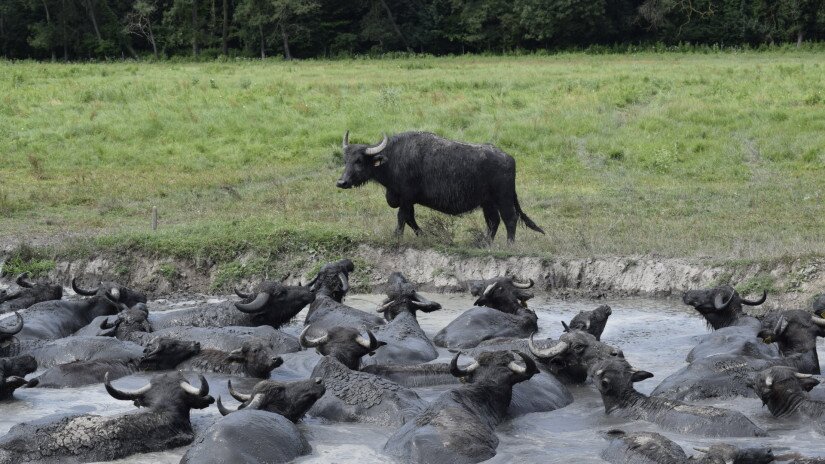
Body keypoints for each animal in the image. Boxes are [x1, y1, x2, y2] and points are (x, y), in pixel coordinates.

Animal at [334, 130, 548, 243]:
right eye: (346, 160)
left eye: (359, 161)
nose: (341, 182)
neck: (393, 159)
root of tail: (508, 158)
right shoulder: (407, 200)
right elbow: (410, 219)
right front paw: (423, 235)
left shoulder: (406, 197)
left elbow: (402, 217)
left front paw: (397, 236)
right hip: (487, 202)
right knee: (493, 221)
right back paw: (483, 243)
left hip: (503, 197)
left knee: (509, 219)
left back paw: (508, 244)